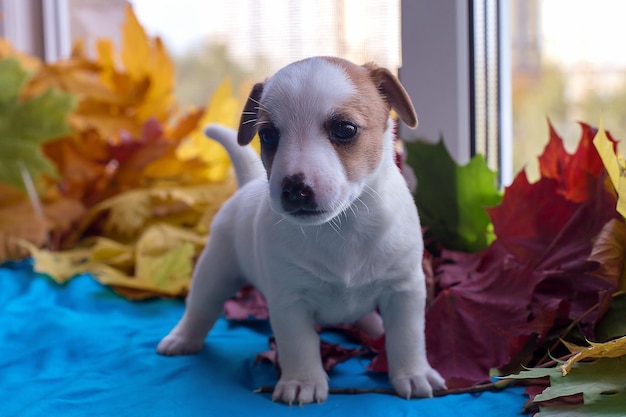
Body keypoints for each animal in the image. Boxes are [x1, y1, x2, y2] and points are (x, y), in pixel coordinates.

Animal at [158, 55, 446, 404]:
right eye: (268, 135)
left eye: (345, 129)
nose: (294, 188)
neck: (343, 226)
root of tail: (247, 184)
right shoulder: (289, 301)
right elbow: (299, 344)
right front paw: (303, 382)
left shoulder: (404, 290)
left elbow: (407, 337)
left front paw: (413, 374)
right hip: (215, 272)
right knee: (200, 308)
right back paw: (182, 338)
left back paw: (376, 329)